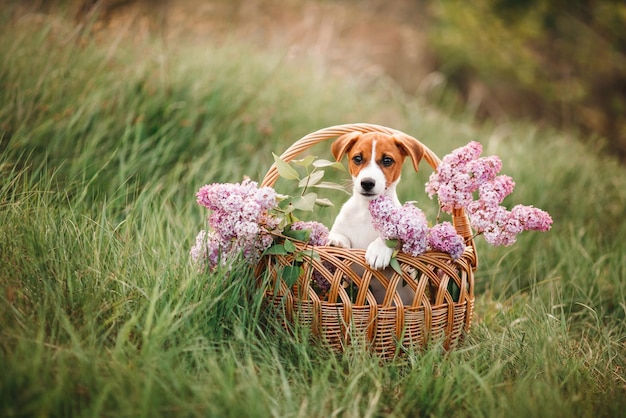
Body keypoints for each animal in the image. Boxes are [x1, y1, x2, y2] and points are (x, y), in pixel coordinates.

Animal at [326, 132, 424, 306]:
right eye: (358, 158)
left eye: (387, 160)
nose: (367, 183)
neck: (366, 211)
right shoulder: (340, 226)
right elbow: (338, 234)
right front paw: (336, 242)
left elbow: (391, 238)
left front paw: (378, 250)